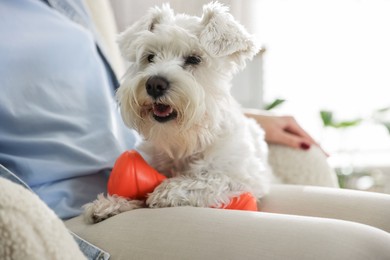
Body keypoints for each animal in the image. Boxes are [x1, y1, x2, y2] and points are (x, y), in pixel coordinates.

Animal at [85, 1, 274, 222]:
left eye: (194, 59)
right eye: (150, 57)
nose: (154, 84)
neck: (183, 140)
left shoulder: (246, 177)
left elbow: (211, 178)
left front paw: (167, 190)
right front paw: (111, 203)